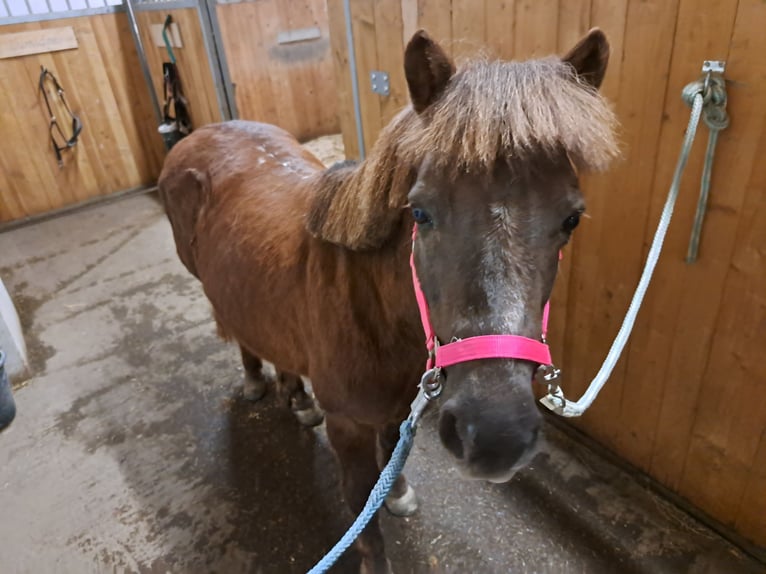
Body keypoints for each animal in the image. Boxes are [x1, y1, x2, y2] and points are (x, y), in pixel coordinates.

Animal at [160, 30, 616, 574]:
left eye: (571, 219)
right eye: (420, 212)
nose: (496, 435)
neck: (371, 310)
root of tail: (202, 133)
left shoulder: (398, 406)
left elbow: (391, 454)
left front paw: (395, 492)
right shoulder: (347, 426)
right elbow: (363, 512)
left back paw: (297, 397)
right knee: (239, 332)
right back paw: (255, 381)